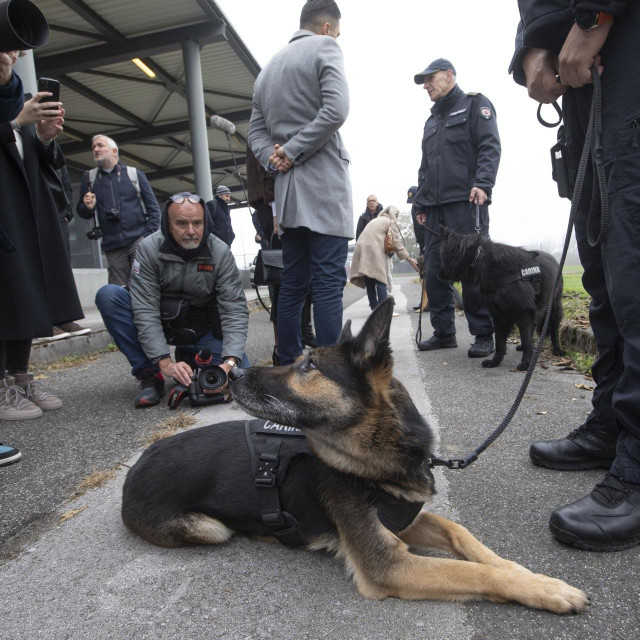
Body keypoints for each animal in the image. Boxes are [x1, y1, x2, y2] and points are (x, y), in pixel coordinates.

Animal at [440, 229, 564, 370]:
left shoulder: (523, 312)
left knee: (553, 328)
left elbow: (526, 339)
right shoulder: (499, 315)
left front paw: (527, 363)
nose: (438, 274)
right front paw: (495, 361)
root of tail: (554, 259)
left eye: (442, 256)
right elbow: (500, 342)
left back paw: (557, 349)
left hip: (554, 307)